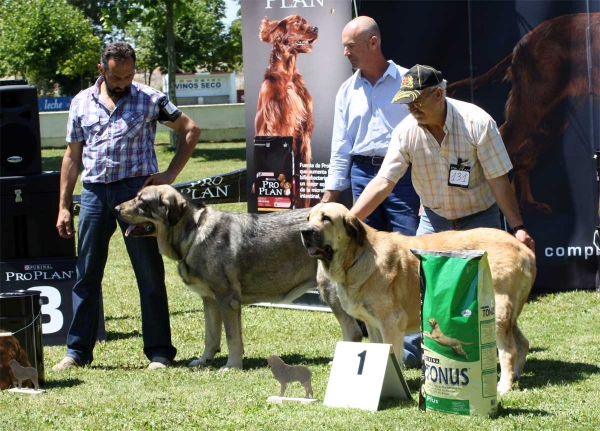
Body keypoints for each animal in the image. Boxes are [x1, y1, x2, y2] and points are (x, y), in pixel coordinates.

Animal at [116, 184, 360, 370]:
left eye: (141, 201)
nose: (116, 208)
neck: (193, 232)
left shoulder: (227, 300)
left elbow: (232, 337)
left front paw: (232, 366)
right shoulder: (210, 300)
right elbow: (211, 336)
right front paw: (205, 360)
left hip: (330, 292)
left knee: (353, 332)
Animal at [254, 14, 318, 192]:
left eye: (305, 22)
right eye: (296, 22)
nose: (316, 29)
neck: (286, 74)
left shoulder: (304, 130)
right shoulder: (278, 126)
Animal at [302, 202, 536, 394]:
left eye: (326, 218)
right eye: (308, 218)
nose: (304, 231)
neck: (356, 257)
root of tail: (523, 248)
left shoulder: (391, 322)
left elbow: (393, 355)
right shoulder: (373, 323)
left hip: (497, 312)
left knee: (508, 351)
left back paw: (503, 386)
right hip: (505, 315)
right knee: (522, 342)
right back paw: (516, 375)